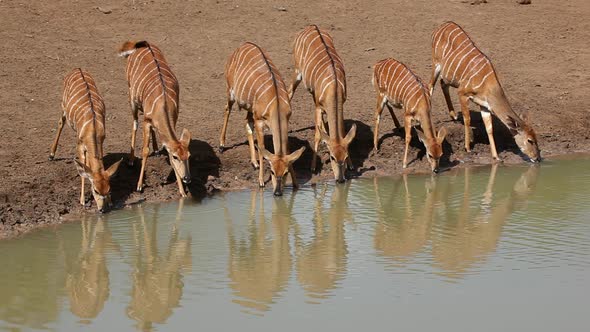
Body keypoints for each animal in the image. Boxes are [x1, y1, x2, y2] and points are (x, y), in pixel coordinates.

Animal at [50, 68, 122, 213]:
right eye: (95, 190)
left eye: (108, 190)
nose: (102, 209)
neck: (92, 128)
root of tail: (77, 69)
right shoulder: (79, 145)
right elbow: (83, 172)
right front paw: (82, 200)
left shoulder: (100, 142)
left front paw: (111, 203)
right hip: (63, 106)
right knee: (61, 122)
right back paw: (51, 154)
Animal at [119, 41, 193, 197]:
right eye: (176, 157)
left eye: (188, 156)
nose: (187, 178)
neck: (163, 104)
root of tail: (142, 44)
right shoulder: (146, 122)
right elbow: (145, 151)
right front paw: (139, 185)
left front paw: (182, 192)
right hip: (132, 98)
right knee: (134, 123)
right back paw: (131, 160)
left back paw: (157, 149)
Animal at [221, 42, 308, 196]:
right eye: (272, 172)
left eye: (285, 172)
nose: (277, 192)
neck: (276, 105)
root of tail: (244, 45)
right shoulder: (260, 122)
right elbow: (262, 149)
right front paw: (261, 181)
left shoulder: (285, 121)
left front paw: (296, 184)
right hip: (230, 91)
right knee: (227, 109)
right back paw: (221, 145)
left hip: (250, 107)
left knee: (246, 123)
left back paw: (254, 162)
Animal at [288, 24, 356, 183]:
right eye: (332, 157)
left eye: (345, 156)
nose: (340, 179)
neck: (334, 88)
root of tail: (312, 26)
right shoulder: (318, 107)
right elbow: (317, 135)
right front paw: (313, 167)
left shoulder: (341, 105)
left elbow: (341, 131)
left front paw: (351, 165)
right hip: (297, 72)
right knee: (289, 92)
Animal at [430, 21, 540, 162]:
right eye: (530, 140)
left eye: (536, 138)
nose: (537, 158)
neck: (488, 85)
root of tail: (444, 24)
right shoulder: (462, 93)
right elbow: (467, 119)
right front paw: (467, 147)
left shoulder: (484, 106)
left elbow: (489, 128)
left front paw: (496, 156)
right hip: (436, 64)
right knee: (431, 85)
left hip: (449, 76)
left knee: (442, 83)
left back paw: (453, 115)